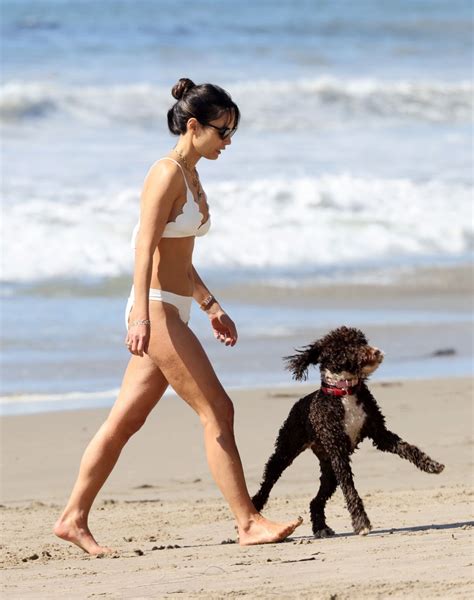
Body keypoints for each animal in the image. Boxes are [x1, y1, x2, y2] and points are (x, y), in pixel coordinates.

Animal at [252, 326, 444, 536]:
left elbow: (408, 448)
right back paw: (255, 508)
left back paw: (321, 527)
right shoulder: (338, 449)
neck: (345, 391)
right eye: (346, 347)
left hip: (329, 469)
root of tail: (298, 403)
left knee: (316, 500)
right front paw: (361, 522)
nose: (376, 351)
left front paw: (431, 464)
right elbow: (350, 489)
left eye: (362, 341)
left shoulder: (379, 433)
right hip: (287, 450)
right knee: (268, 481)